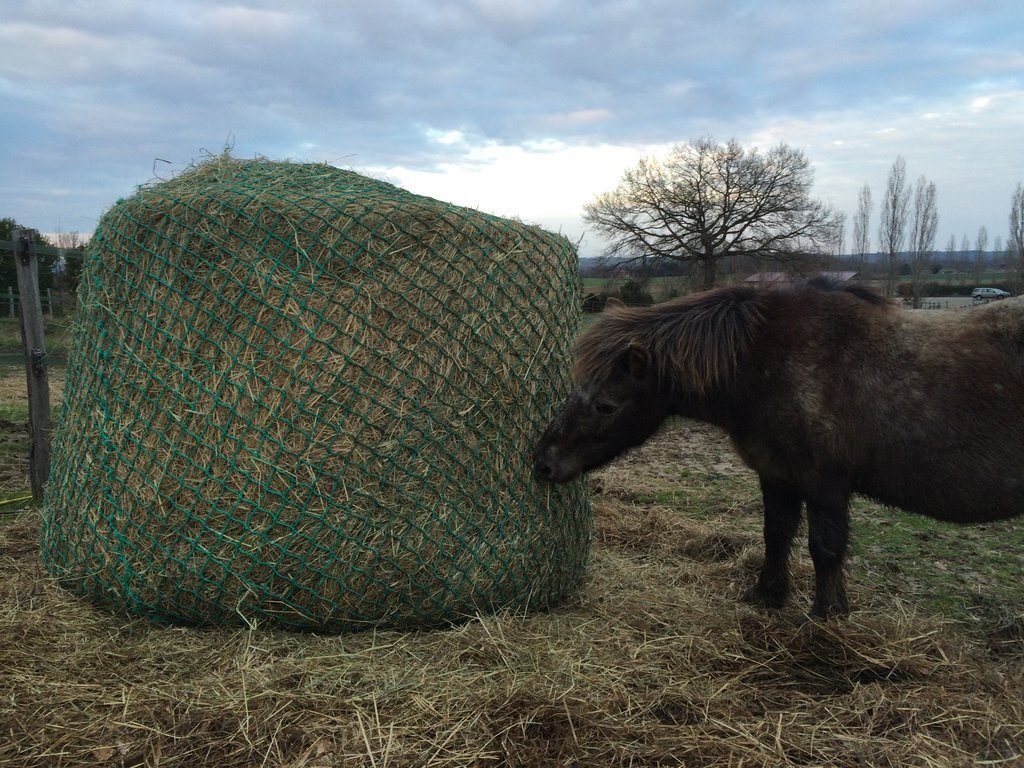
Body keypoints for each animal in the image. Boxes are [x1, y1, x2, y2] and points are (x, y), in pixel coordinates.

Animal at [536, 280, 1024, 618]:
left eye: (606, 404)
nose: (543, 462)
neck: (770, 363)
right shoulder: (776, 474)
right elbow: (776, 535)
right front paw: (768, 596)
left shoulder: (826, 486)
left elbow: (825, 550)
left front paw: (827, 617)